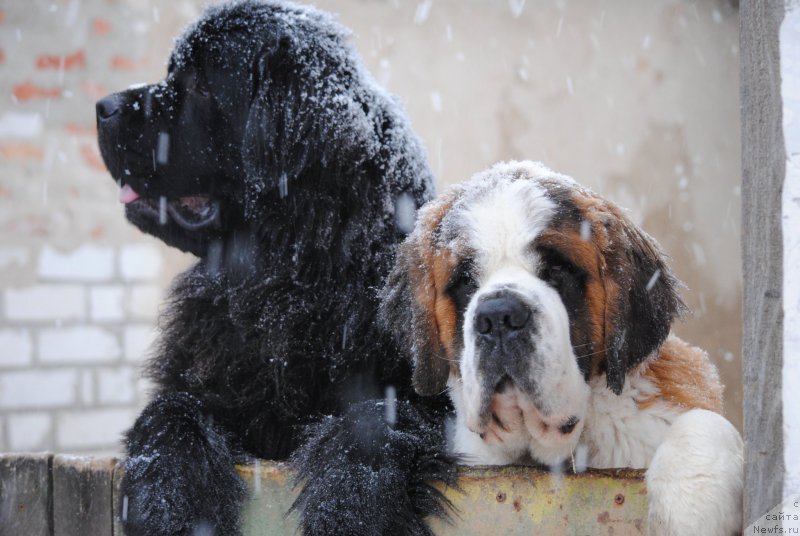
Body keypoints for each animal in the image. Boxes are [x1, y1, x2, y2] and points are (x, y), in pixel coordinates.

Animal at [94, 2, 454, 532]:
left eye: (199, 84)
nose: (103, 106)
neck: (287, 281)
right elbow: (172, 411)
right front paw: (169, 503)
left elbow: (374, 419)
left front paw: (349, 509)